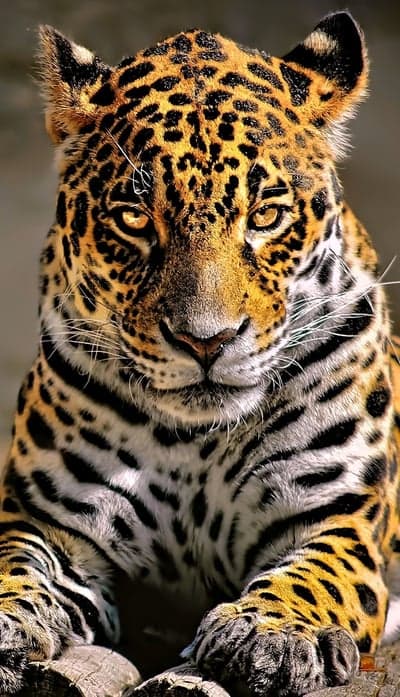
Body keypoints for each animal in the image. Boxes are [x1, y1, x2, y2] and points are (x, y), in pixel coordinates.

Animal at [1, 10, 400, 696]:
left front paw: (268, 633)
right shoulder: (48, 519)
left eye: (265, 216)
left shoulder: (341, 518)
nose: (205, 341)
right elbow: (12, 562)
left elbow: (313, 576)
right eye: (135, 219)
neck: (199, 440)